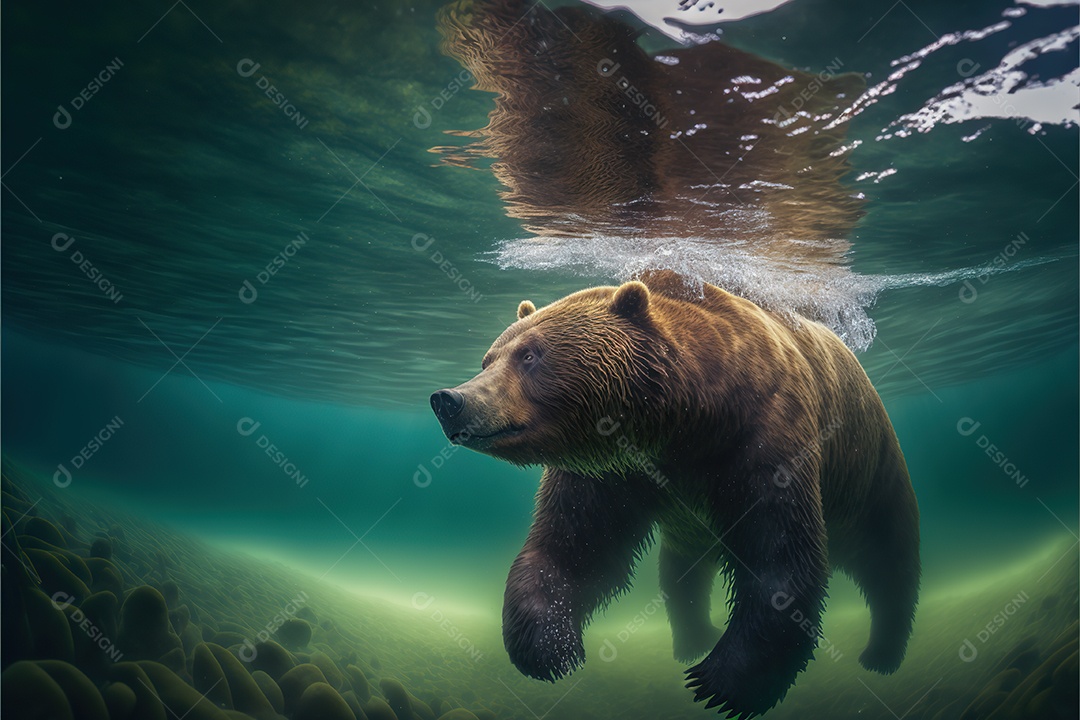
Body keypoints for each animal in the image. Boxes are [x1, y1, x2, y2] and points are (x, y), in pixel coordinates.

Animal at [430, 270, 920, 718]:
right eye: (488, 358)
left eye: (530, 355)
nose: (449, 400)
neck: (682, 420)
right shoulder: (611, 472)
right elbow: (572, 547)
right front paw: (551, 648)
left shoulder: (764, 436)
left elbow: (780, 558)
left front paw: (722, 683)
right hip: (692, 527)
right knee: (682, 572)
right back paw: (693, 638)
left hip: (869, 467)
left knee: (888, 557)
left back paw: (881, 654)